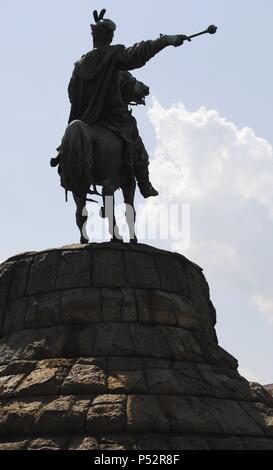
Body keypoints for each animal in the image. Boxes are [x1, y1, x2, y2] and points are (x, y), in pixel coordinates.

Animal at [55, 73, 149, 246]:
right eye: (131, 78)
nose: (146, 88)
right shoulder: (129, 182)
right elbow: (130, 210)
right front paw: (133, 239)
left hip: (78, 183)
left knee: (80, 212)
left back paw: (84, 239)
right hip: (109, 181)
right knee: (108, 206)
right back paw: (117, 237)